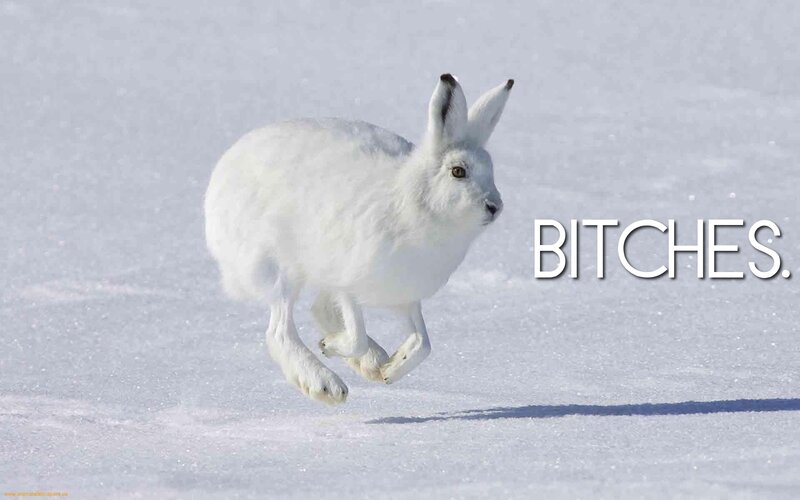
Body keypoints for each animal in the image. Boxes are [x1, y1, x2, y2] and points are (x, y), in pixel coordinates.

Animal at [204, 74, 513, 404]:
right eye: (458, 172)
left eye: (491, 171)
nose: (494, 206)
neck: (414, 203)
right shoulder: (347, 282)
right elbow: (357, 337)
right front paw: (330, 347)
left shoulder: (406, 295)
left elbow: (423, 343)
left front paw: (390, 369)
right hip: (281, 267)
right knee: (280, 332)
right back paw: (325, 384)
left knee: (317, 311)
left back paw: (374, 362)